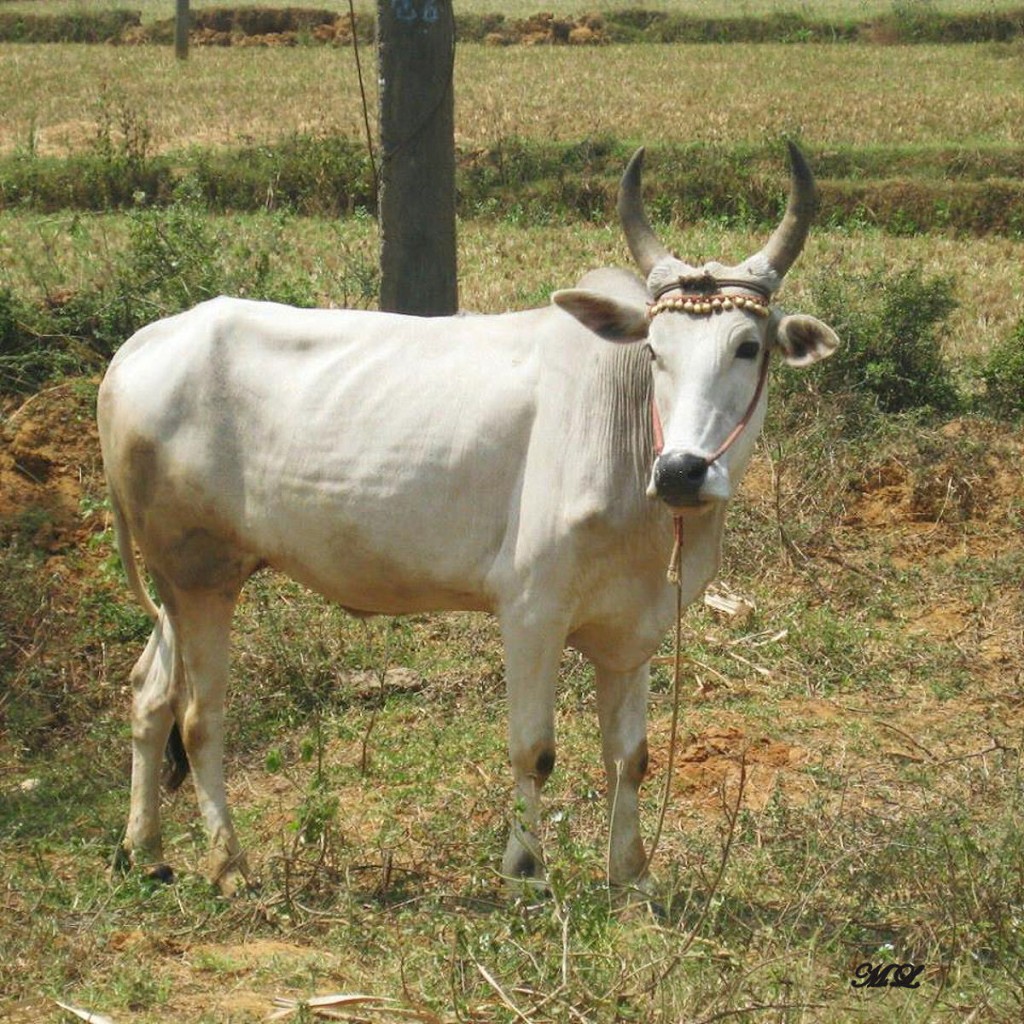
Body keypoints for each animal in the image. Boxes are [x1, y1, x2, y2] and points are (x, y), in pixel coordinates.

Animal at [99, 146, 835, 897]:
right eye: (655, 350)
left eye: (748, 347)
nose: (683, 470)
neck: (629, 435)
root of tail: (139, 347)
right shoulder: (532, 610)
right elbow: (534, 750)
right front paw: (525, 870)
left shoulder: (635, 628)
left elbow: (629, 756)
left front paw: (631, 876)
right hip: (200, 577)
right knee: (199, 718)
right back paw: (229, 865)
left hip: (179, 583)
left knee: (150, 693)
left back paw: (144, 847)